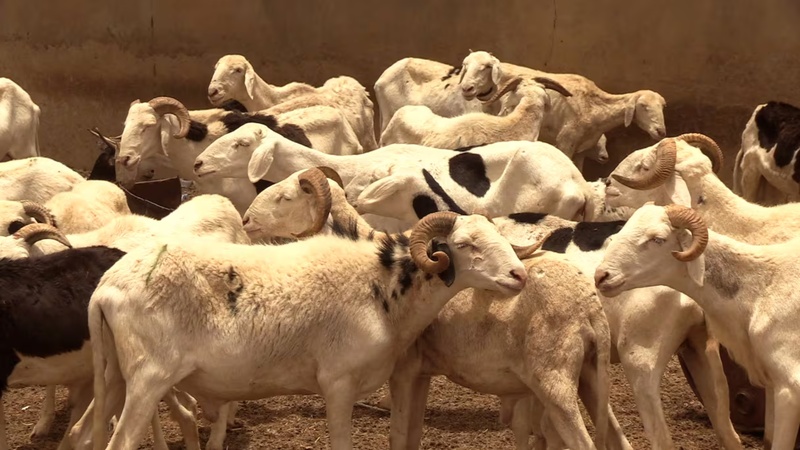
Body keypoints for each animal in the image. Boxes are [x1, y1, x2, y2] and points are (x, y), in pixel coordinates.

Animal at [70, 205, 529, 450]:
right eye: (465, 245)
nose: (519, 275)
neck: (381, 287)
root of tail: (107, 287)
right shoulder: (338, 382)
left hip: (115, 377)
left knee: (81, 434)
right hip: (149, 378)